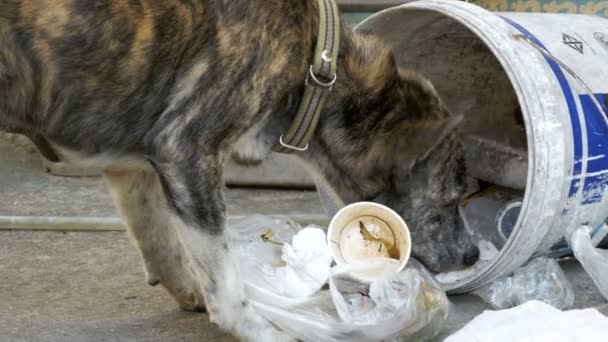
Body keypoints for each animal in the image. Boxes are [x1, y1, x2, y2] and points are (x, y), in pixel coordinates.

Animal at [0, 0, 480, 340]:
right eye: (449, 200)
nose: (474, 255)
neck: (317, 63)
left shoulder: (133, 165)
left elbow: (160, 239)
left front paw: (190, 291)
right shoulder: (187, 150)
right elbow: (226, 282)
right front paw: (258, 329)